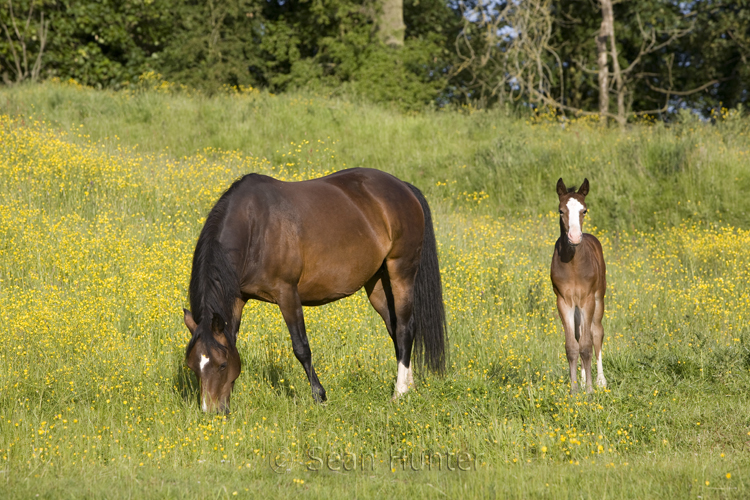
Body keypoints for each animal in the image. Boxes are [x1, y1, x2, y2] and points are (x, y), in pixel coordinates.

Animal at [184, 166, 446, 412]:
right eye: (192, 366)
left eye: (222, 365)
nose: (211, 411)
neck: (254, 228)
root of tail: (403, 186)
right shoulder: (238, 298)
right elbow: (233, 339)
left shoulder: (287, 293)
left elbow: (301, 347)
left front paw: (319, 396)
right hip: (377, 283)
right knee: (395, 328)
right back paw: (410, 386)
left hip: (401, 270)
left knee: (404, 328)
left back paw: (400, 392)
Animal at [552, 179, 612, 394]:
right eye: (560, 210)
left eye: (584, 210)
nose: (575, 237)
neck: (573, 265)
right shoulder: (564, 301)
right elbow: (572, 346)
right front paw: (574, 390)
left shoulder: (587, 300)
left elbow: (587, 344)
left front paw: (590, 390)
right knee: (579, 334)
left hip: (598, 299)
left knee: (597, 332)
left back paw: (601, 381)